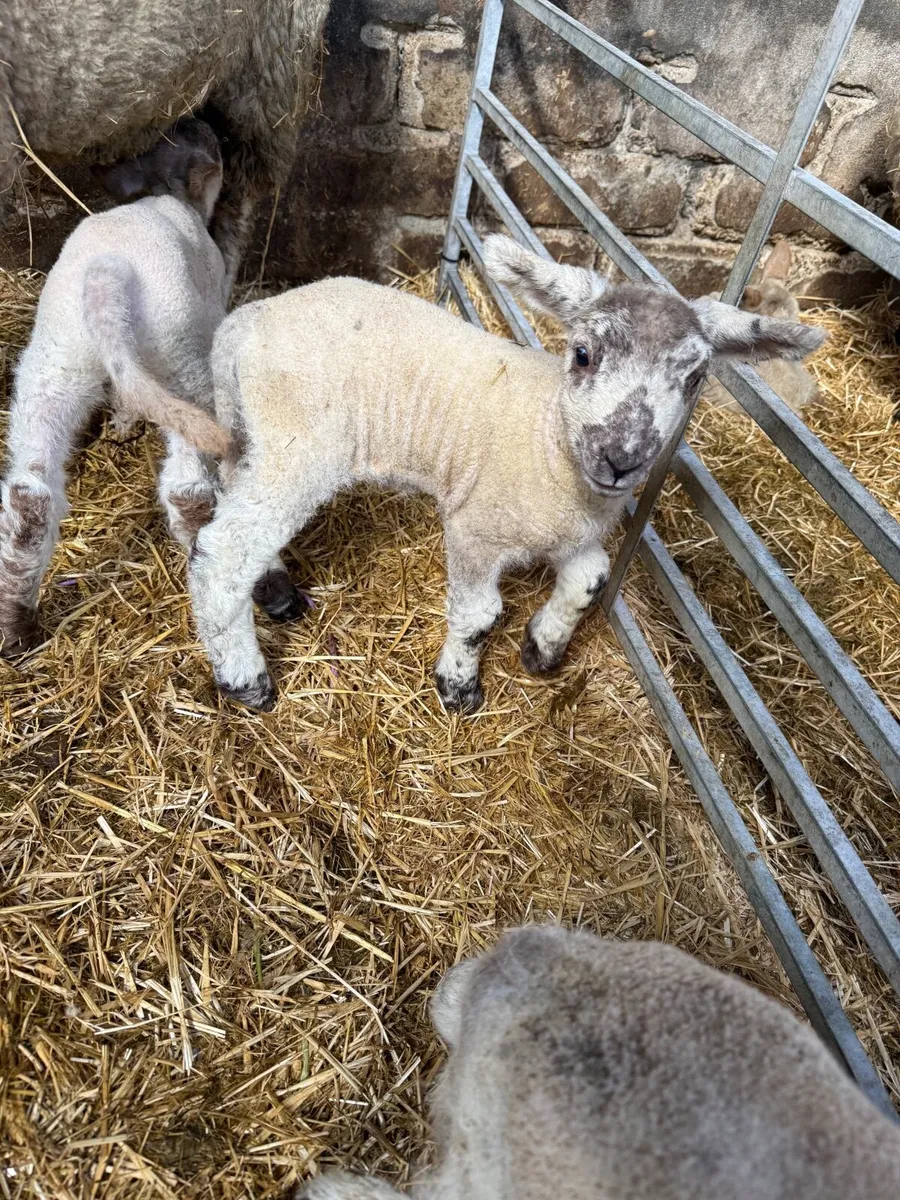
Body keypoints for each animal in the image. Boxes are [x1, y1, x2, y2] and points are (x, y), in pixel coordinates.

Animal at [0, 120, 303, 657]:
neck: (164, 193)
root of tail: (107, 276)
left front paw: (122, 422)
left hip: (54, 361)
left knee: (29, 493)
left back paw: (15, 627)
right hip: (181, 359)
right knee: (191, 490)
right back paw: (271, 586)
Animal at [188, 234, 825, 714]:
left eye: (694, 380)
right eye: (583, 355)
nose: (621, 458)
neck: (549, 440)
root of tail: (243, 323)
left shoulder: (573, 536)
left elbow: (591, 579)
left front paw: (542, 649)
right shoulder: (475, 528)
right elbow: (478, 616)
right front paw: (459, 687)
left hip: (254, 438)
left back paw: (274, 591)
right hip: (299, 445)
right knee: (220, 552)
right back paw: (247, 681)